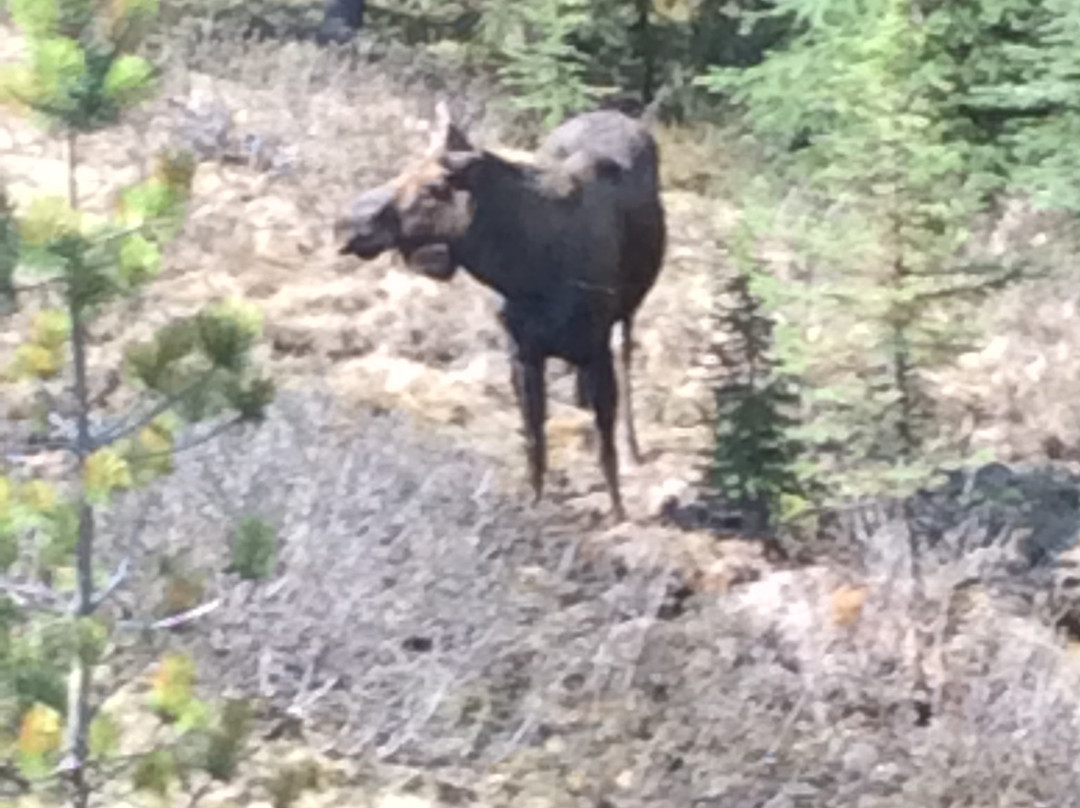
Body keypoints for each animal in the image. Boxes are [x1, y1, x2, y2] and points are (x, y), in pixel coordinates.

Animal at [332, 104, 660, 520]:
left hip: (628, 314)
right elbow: (534, 437)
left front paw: (618, 512)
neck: (525, 272)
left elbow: (606, 446)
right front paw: (534, 502)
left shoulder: (596, 350)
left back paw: (635, 446)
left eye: (433, 188)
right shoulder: (522, 352)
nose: (345, 224)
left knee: (628, 362)